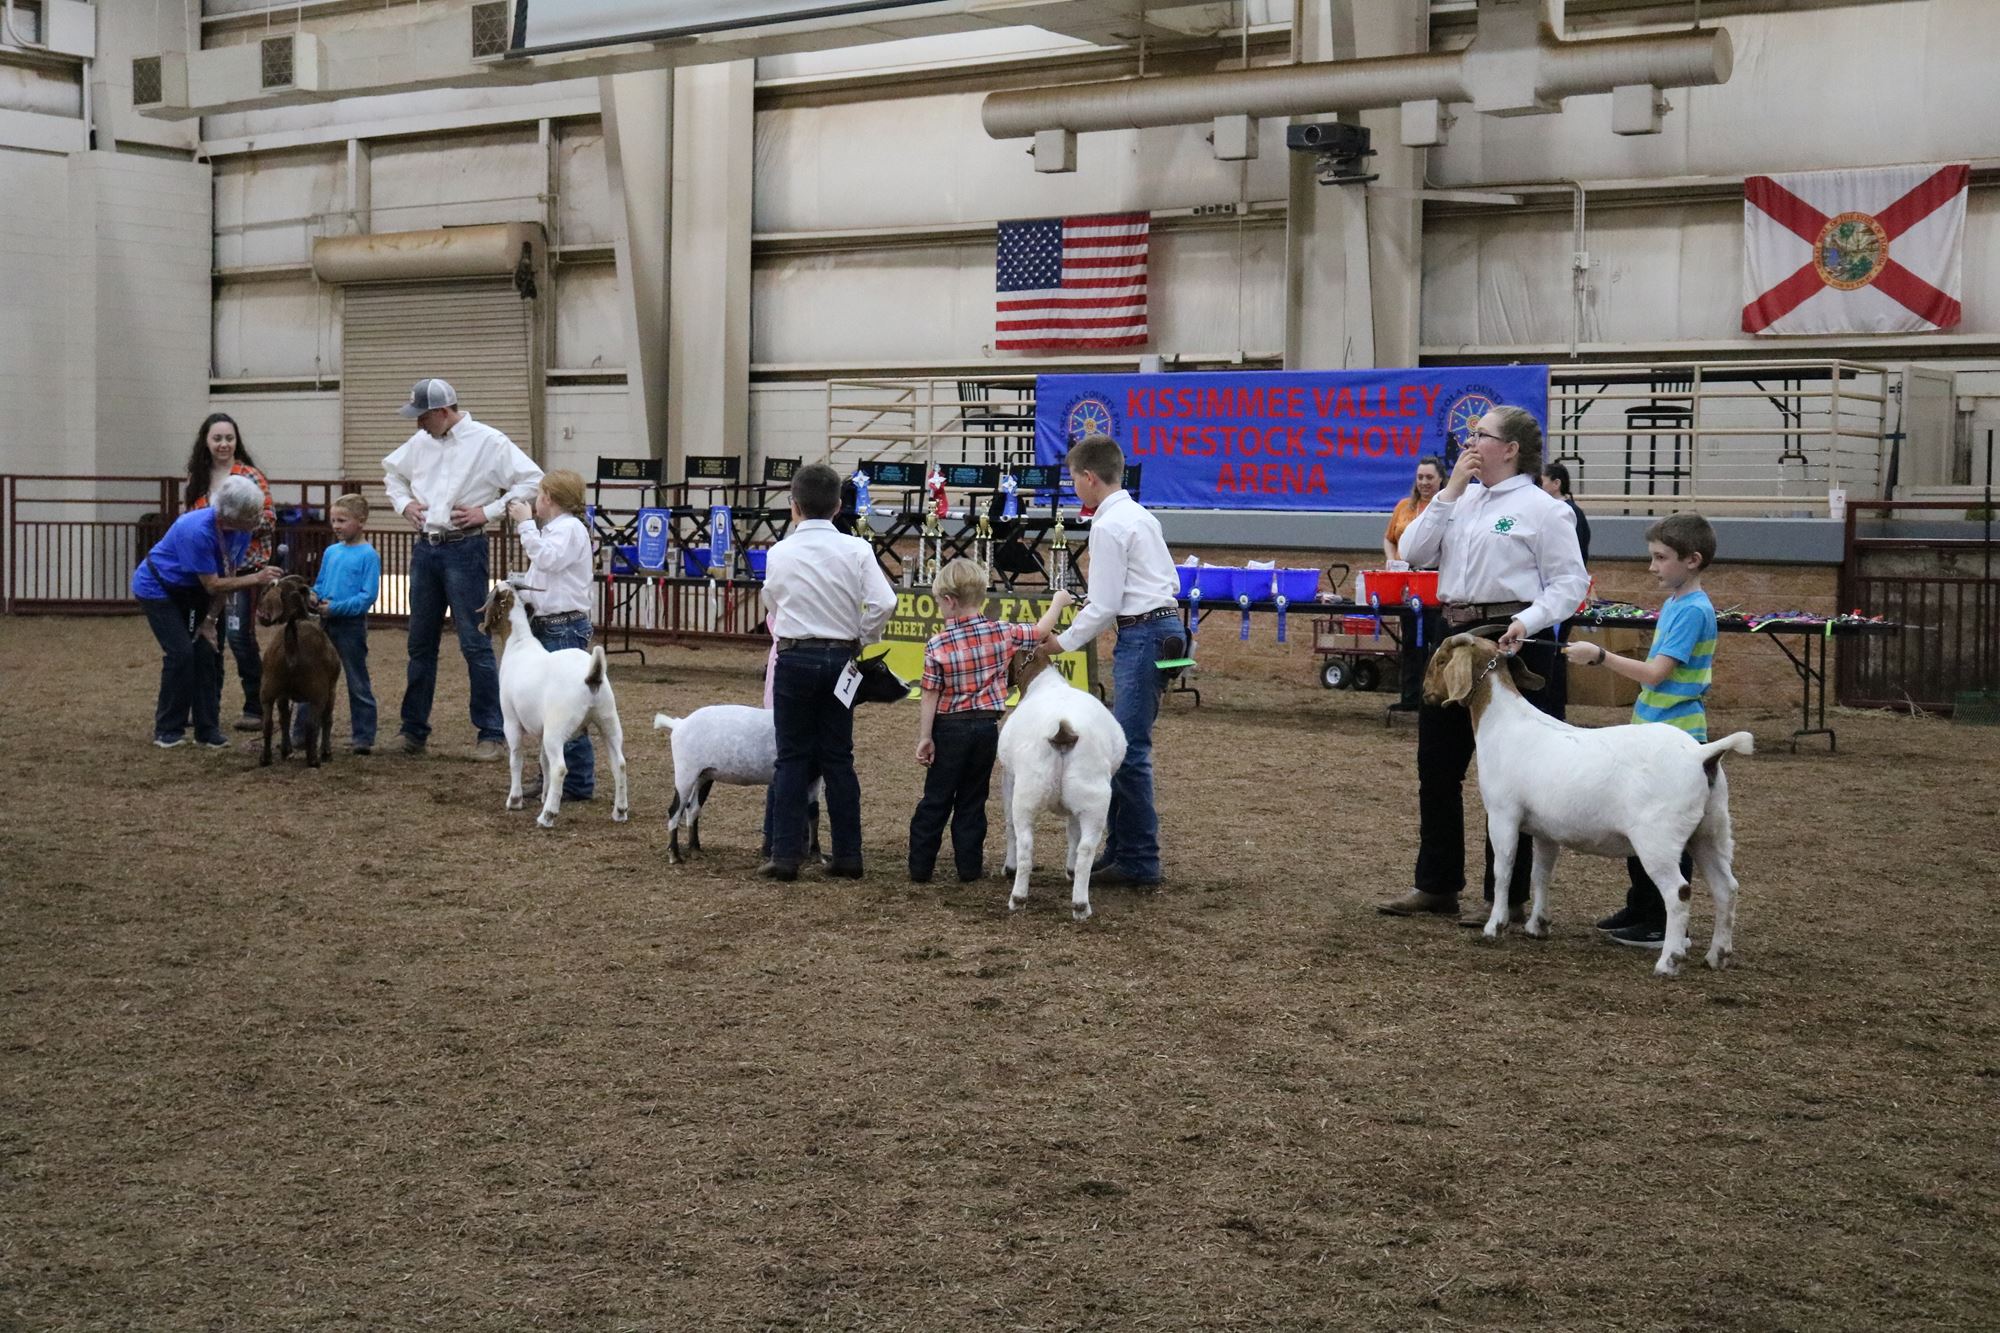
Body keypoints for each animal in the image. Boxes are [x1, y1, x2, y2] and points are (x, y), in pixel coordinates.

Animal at [256, 572, 342, 768]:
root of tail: (291, 646)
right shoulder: (331, 689)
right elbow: (327, 719)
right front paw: (326, 753)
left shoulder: (282, 695)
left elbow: (285, 717)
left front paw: (286, 751)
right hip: (318, 692)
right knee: (313, 724)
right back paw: (314, 759)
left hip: (268, 689)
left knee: (268, 723)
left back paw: (266, 758)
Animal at [480, 588, 628, 824]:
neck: (519, 643)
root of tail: (591, 676)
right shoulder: (542, 728)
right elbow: (543, 761)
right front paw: (543, 794)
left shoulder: (511, 721)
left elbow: (516, 758)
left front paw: (515, 800)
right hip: (608, 720)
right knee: (619, 763)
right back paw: (620, 811)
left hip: (558, 727)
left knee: (560, 768)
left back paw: (547, 815)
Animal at [996, 652, 1128, 920]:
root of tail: (1064, 729)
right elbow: (1073, 833)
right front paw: (1070, 870)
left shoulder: (1008, 778)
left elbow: (1009, 826)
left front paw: (1008, 868)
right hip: (1094, 797)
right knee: (1086, 848)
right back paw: (1080, 904)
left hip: (1026, 793)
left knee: (1025, 843)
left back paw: (1018, 897)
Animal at [1424, 628, 1752, 972]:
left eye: (1442, 660)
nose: (1425, 693)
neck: (1504, 723)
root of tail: (1701, 755)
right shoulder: (1545, 829)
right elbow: (1541, 873)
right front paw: (1537, 926)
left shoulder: (1503, 815)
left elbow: (1504, 868)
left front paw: (1494, 926)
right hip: (1710, 831)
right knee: (1726, 887)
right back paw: (1717, 955)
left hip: (1658, 840)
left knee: (1679, 892)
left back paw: (1668, 960)